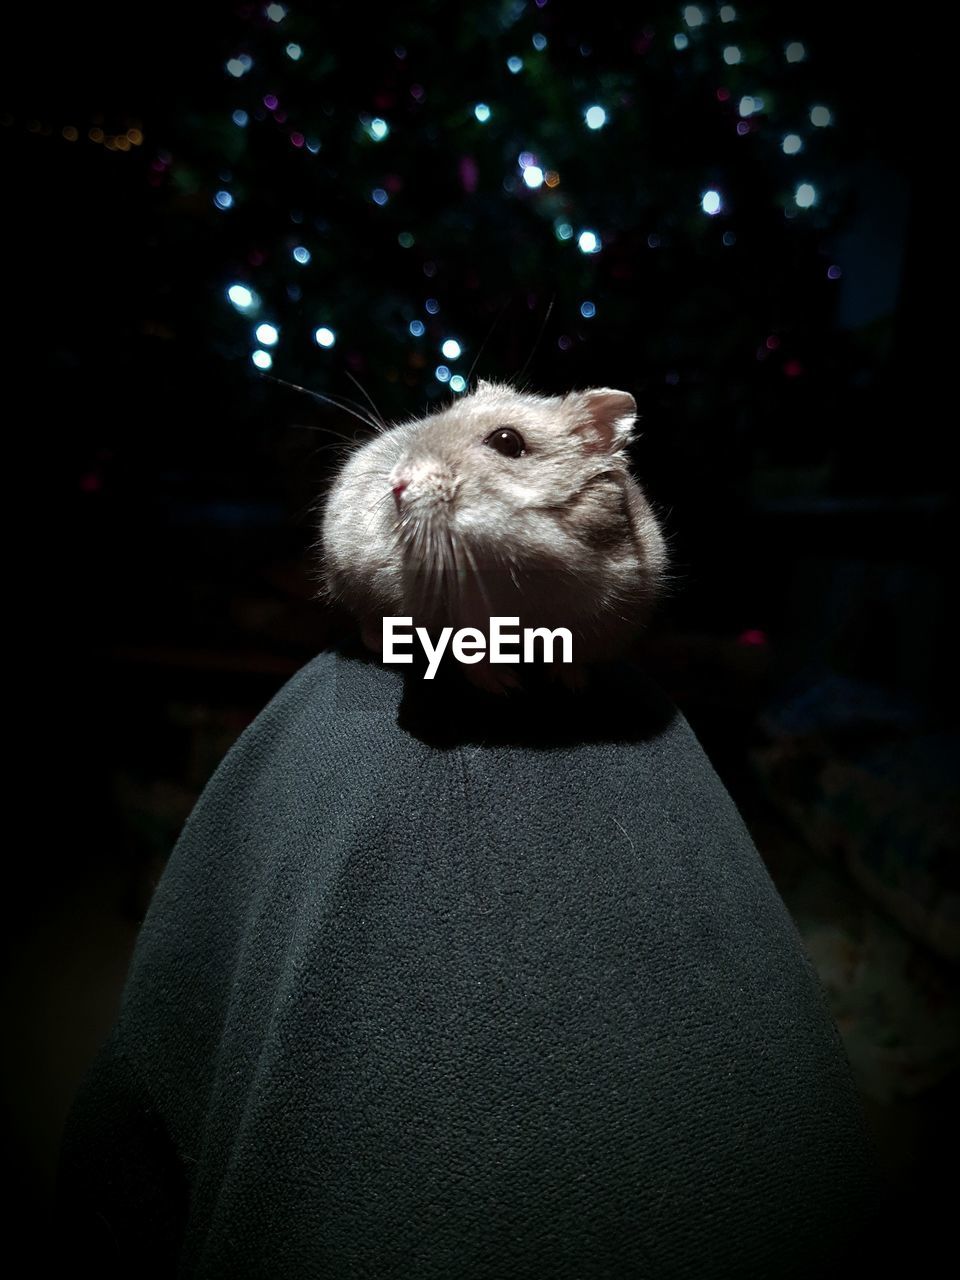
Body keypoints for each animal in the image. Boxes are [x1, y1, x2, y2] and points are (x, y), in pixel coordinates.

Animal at [320, 378, 665, 691]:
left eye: (507, 441)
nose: (395, 483)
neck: (522, 552)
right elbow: (472, 652)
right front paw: (505, 686)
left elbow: (571, 654)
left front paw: (573, 683)